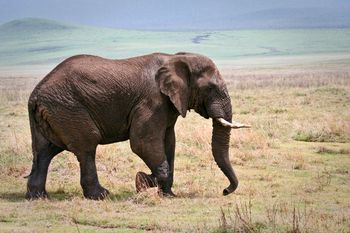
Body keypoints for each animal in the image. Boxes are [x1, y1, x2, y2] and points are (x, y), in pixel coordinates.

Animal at [26, 51, 250, 200]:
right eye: (211, 88)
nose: (225, 191)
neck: (176, 57)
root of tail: (35, 95)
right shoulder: (152, 101)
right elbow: (142, 142)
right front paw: (142, 182)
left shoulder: (167, 105)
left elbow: (169, 142)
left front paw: (167, 194)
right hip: (68, 108)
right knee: (87, 146)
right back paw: (101, 195)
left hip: (52, 113)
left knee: (44, 152)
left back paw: (38, 197)